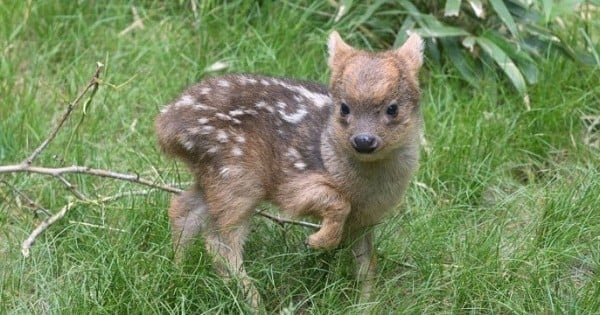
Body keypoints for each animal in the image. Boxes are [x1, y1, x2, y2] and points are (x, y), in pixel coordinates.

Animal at [157, 31, 424, 308]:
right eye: (344, 107)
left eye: (393, 108)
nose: (363, 140)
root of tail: (166, 126)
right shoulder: (294, 183)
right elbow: (336, 202)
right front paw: (317, 241)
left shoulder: (366, 219)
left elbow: (367, 262)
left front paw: (365, 303)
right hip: (238, 174)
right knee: (220, 242)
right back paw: (254, 303)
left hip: (213, 174)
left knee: (182, 208)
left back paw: (177, 272)